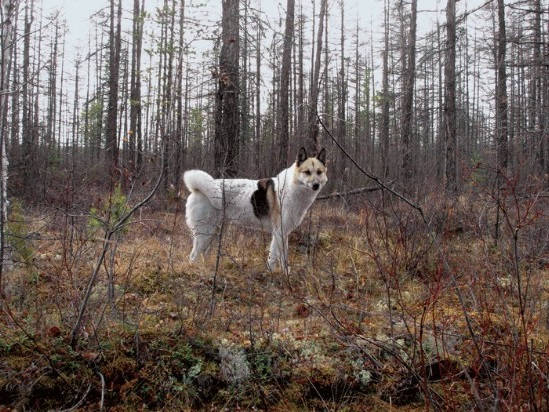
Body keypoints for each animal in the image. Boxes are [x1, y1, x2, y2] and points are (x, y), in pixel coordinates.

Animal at [182, 146, 328, 268]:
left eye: (319, 172)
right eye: (307, 172)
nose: (316, 185)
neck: (292, 186)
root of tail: (196, 189)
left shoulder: (283, 233)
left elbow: (279, 259)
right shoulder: (279, 232)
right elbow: (277, 259)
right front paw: (276, 276)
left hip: (212, 233)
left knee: (203, 254)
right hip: (205, 233)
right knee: (193, 256)